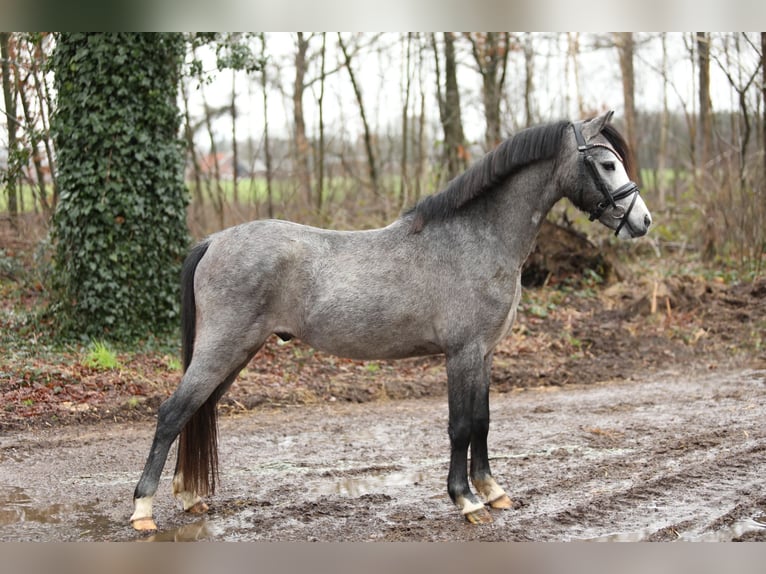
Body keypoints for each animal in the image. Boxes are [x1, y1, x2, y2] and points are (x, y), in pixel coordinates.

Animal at [129, 110, 652, 532]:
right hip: (223, 348)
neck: (474, 238)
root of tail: (214, 241)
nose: (642, 222)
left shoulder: (483, 353)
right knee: (172, 412)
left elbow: (482, 422)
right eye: (607, 164)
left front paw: (492, 491)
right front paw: (466, 501)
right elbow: (460, 425)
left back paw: (190, 497)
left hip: (235, 352)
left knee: (197, 411)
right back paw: (143, 511)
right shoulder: (461, 353)